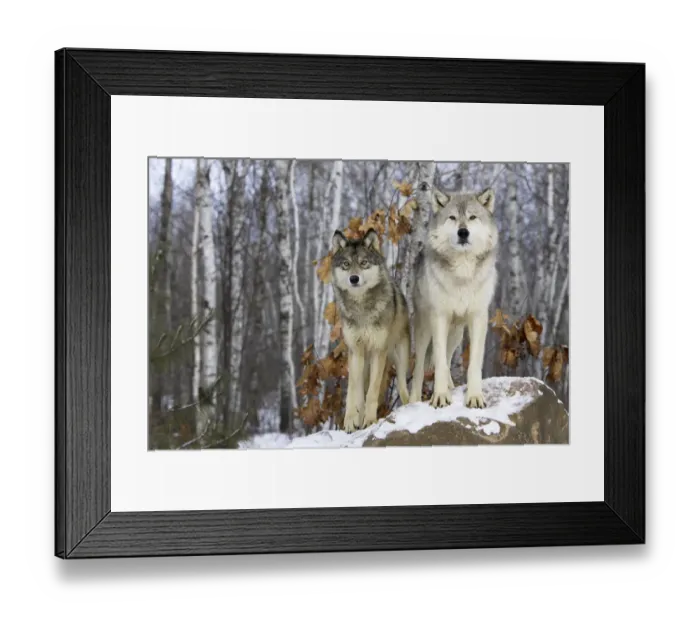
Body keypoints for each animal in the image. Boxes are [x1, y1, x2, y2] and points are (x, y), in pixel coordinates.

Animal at [331, 228, 411, 432]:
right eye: (346, 264)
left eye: (364, 263)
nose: (354, 278)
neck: (362, 309)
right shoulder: (355, 351)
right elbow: (353, 391)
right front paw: (350, 421)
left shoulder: (377, 351)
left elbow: (373, 392)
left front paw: (370, 420)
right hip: (363, 362)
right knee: (359, 390)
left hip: (398, 357)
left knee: (402, 386)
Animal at [409, 184, 499, 409]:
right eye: (452, 217)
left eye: (473, 217)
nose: (463, 232)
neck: (463, 270)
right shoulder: (439, 317)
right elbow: (439, 363)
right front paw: (440, 396)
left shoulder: (478, 317)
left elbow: (473, 363)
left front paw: (475, 397)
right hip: (425, 329)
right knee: (420, 366)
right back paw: (414, 399)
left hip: (457, 333)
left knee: (448, 358)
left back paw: (450, 385)